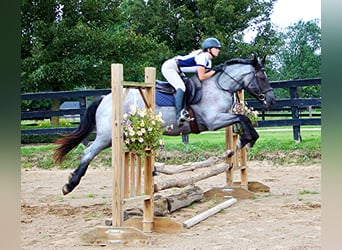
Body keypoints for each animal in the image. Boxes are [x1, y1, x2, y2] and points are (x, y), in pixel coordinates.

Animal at [54, 55, 276, 195]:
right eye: (262, 77)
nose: (272, 101)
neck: (220, 86)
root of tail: (105, 98)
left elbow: (242, 120)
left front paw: (244, 141)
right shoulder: (213, 120)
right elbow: (243, 118)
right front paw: (248, 139)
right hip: (107, 135)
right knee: (88, 152)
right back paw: (69, 185)